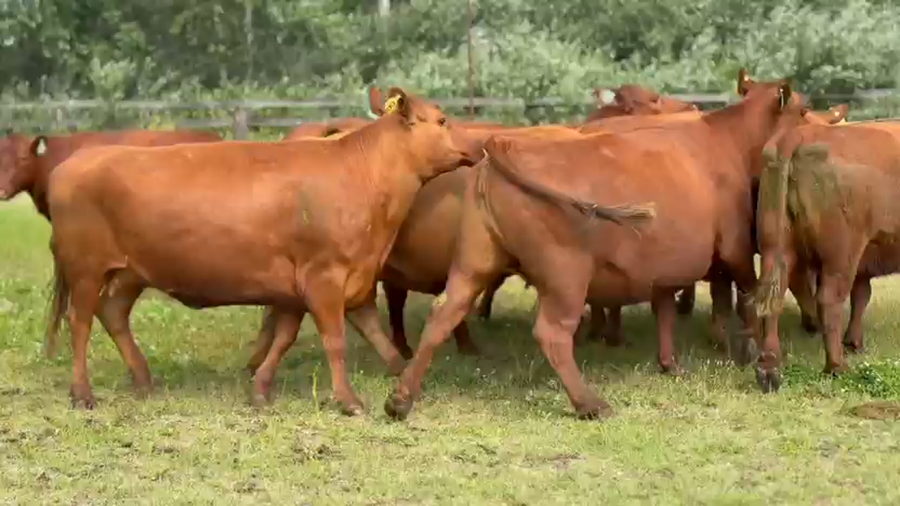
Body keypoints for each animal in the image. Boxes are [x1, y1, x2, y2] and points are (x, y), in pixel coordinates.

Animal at [43, 88, 483, 415]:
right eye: (443, 120)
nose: (479, 146)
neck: (362, 175)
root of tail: (75, 161)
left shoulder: (311, 285)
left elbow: (302, 337)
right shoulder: (323, 277)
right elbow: (334, 340)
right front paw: (349, 401)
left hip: (131, 271)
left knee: (112, 312)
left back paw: (144, 379)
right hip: (86, 267)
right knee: (80, 322)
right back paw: (82, 393)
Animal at [383, 80, 810, 421]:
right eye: (805, 111)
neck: (728, 141)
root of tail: (505, 144)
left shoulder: (664, 267)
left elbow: (666, 309)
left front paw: (670, 363)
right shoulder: (736, 252)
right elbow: (753, 303)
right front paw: (762, 361)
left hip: (473, 265)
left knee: (442, 316)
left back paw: (400, 400)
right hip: (566, 277)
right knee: (552, 334)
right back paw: (590, 403)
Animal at [753, 120, 900, 393]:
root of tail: (800, 133)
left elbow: (861, 295)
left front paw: (854, 342)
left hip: (775, 245)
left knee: (771, 298)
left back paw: (770, 369)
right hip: (842, 252)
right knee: (828, 301)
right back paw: (837, 367)